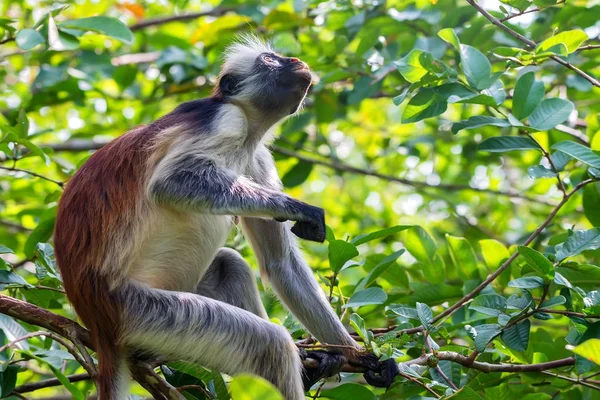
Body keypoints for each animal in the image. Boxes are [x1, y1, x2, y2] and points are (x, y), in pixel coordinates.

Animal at [54, 36, 396, 398]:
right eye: (269, 60)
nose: (295, 61)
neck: (248, 136)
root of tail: (96, 317)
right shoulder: (225, 118)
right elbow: (171, 182)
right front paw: (297, 208)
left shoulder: (258, 156)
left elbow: (280, 263)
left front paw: (359, 357)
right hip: (139, 311)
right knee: (269, 345)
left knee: (230, 265)